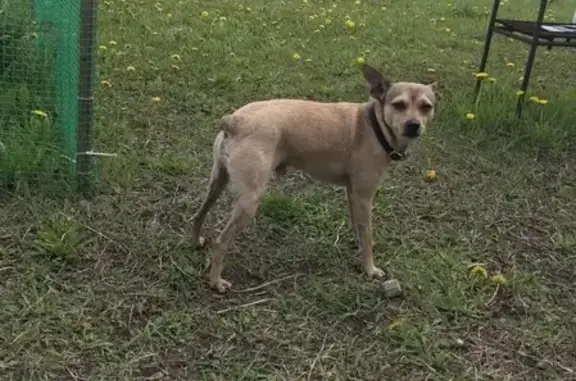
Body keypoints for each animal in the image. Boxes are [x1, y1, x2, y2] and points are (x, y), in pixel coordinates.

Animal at [189, 64, 436, 290]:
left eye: (426, 107)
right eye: (398, 105)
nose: (414, 125)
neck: (375, 125)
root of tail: (235, 121)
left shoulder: (353, 194)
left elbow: (358, 228)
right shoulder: (364, 197)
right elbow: (367, 237)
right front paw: (369, 269)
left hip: (217, 182)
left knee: (198, 215)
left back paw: (195, 242)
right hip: (249, 202)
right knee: (220, 243)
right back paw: (216, 282)